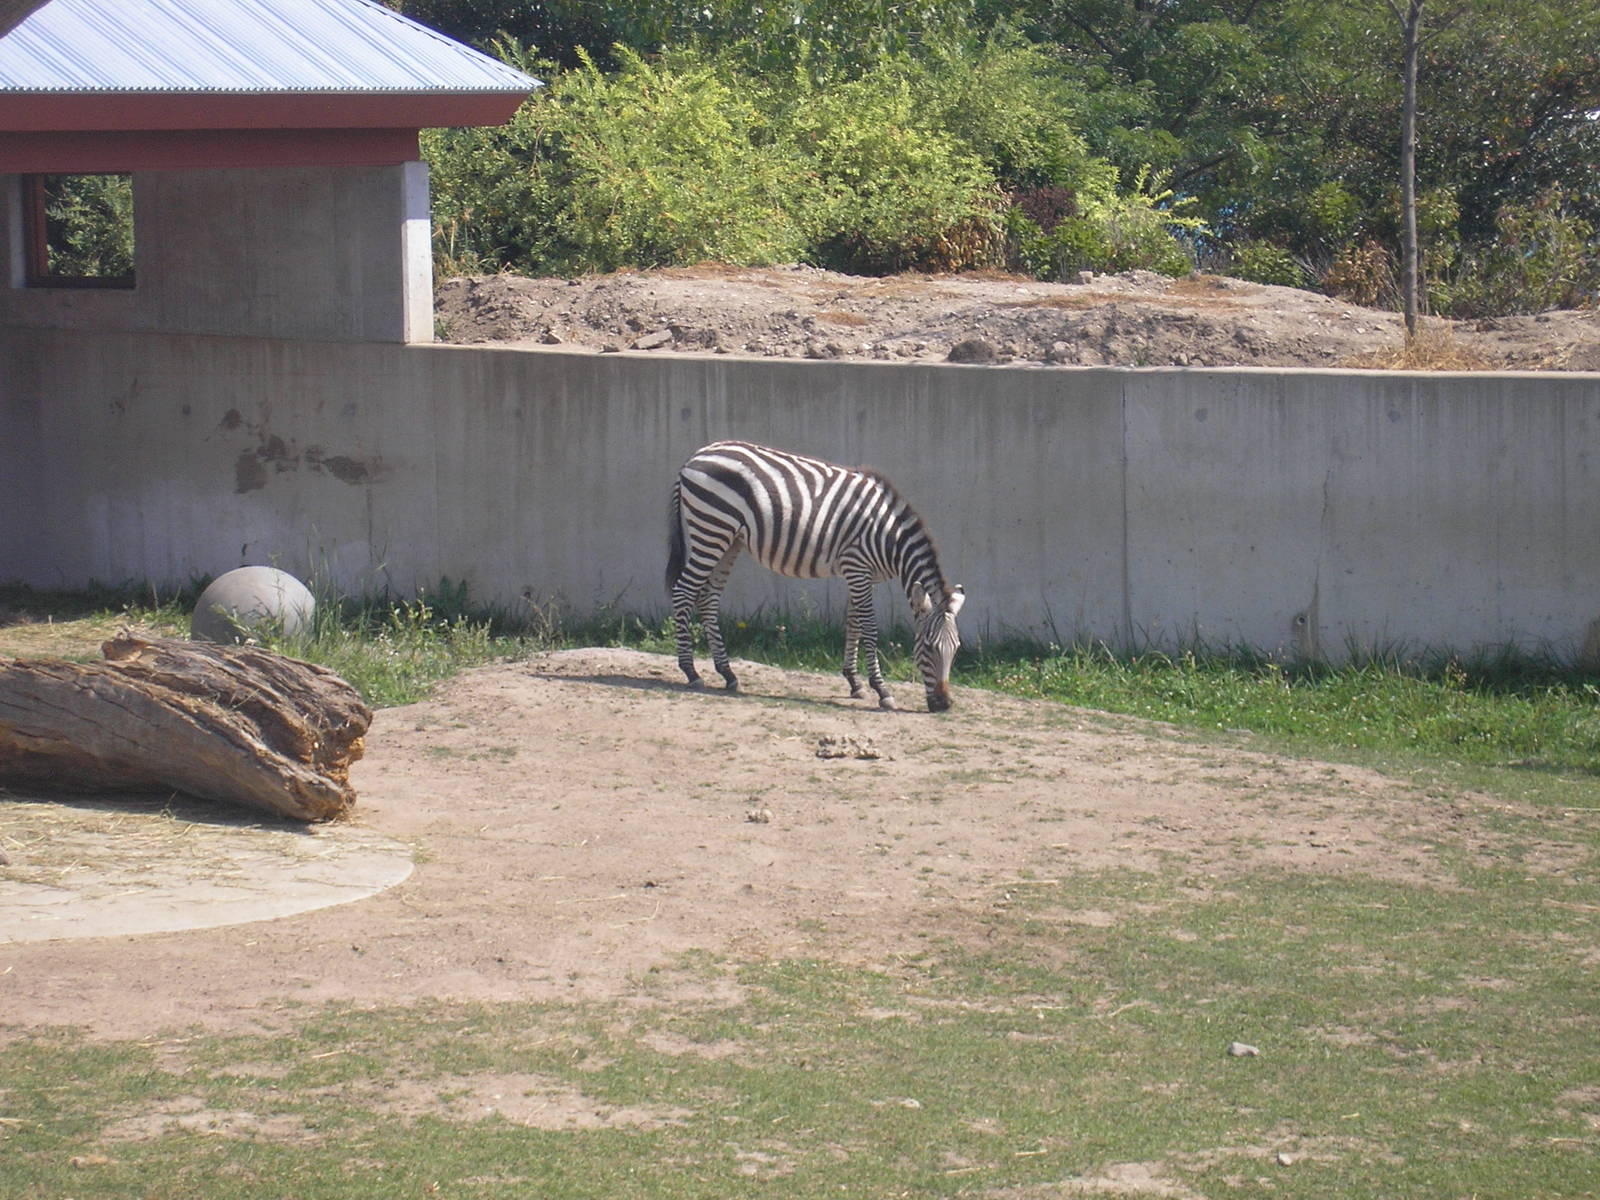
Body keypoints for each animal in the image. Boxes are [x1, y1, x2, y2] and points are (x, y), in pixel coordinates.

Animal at [666, 440, 965, 712]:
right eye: (928, 647)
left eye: (956, 649)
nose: (944, 705)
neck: (887, 538)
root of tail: (696, 455)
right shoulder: (857, 567)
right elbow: (868, 627)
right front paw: (882, 690)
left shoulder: (861, 574)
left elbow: (853, 623)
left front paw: (854, 683)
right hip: (711, 530)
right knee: (683, 591)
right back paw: (691, 671)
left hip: (729, 541)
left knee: (708, 599)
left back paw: (727, 673)